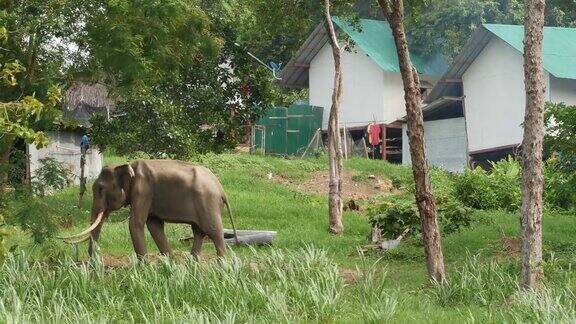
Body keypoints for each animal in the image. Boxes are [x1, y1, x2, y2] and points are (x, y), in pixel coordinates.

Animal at [59, 160, 238, 260]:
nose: (92, 268)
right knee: (198, 232)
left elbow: (136, 224)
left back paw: (222, 268)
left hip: (208, 204)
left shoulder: (143, 190)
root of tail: (221, 189)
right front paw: (171, 265)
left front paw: (144, 270)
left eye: (101, 189)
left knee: (214, 232)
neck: (128, 165)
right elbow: (154, 226)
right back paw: (192, 267)